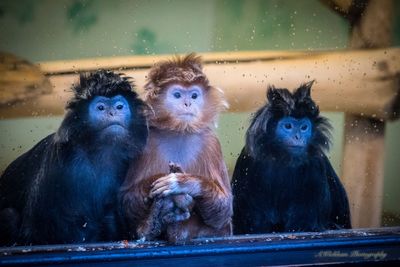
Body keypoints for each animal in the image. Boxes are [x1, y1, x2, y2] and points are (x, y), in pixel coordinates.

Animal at [0, 70, 148, 246]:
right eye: (101, 107)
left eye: (119, 106)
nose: (113, 112)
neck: (100, 151)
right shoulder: (65, 163)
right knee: (9, 215)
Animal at [120, 53, 233, 244]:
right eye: (178, 95)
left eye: (194, 96)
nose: (187, 103)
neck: (180, 132)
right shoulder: (146, 140)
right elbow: (125, 200)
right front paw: (159, 179)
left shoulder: (211, 143)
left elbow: (224, 210)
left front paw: (183, 183)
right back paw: (155, 221)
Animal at [231, 81, 350, 234]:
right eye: (288, 126)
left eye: (304, 127)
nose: (298, 137)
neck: (283, 159)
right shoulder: (248, 160)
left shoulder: (315, 163)